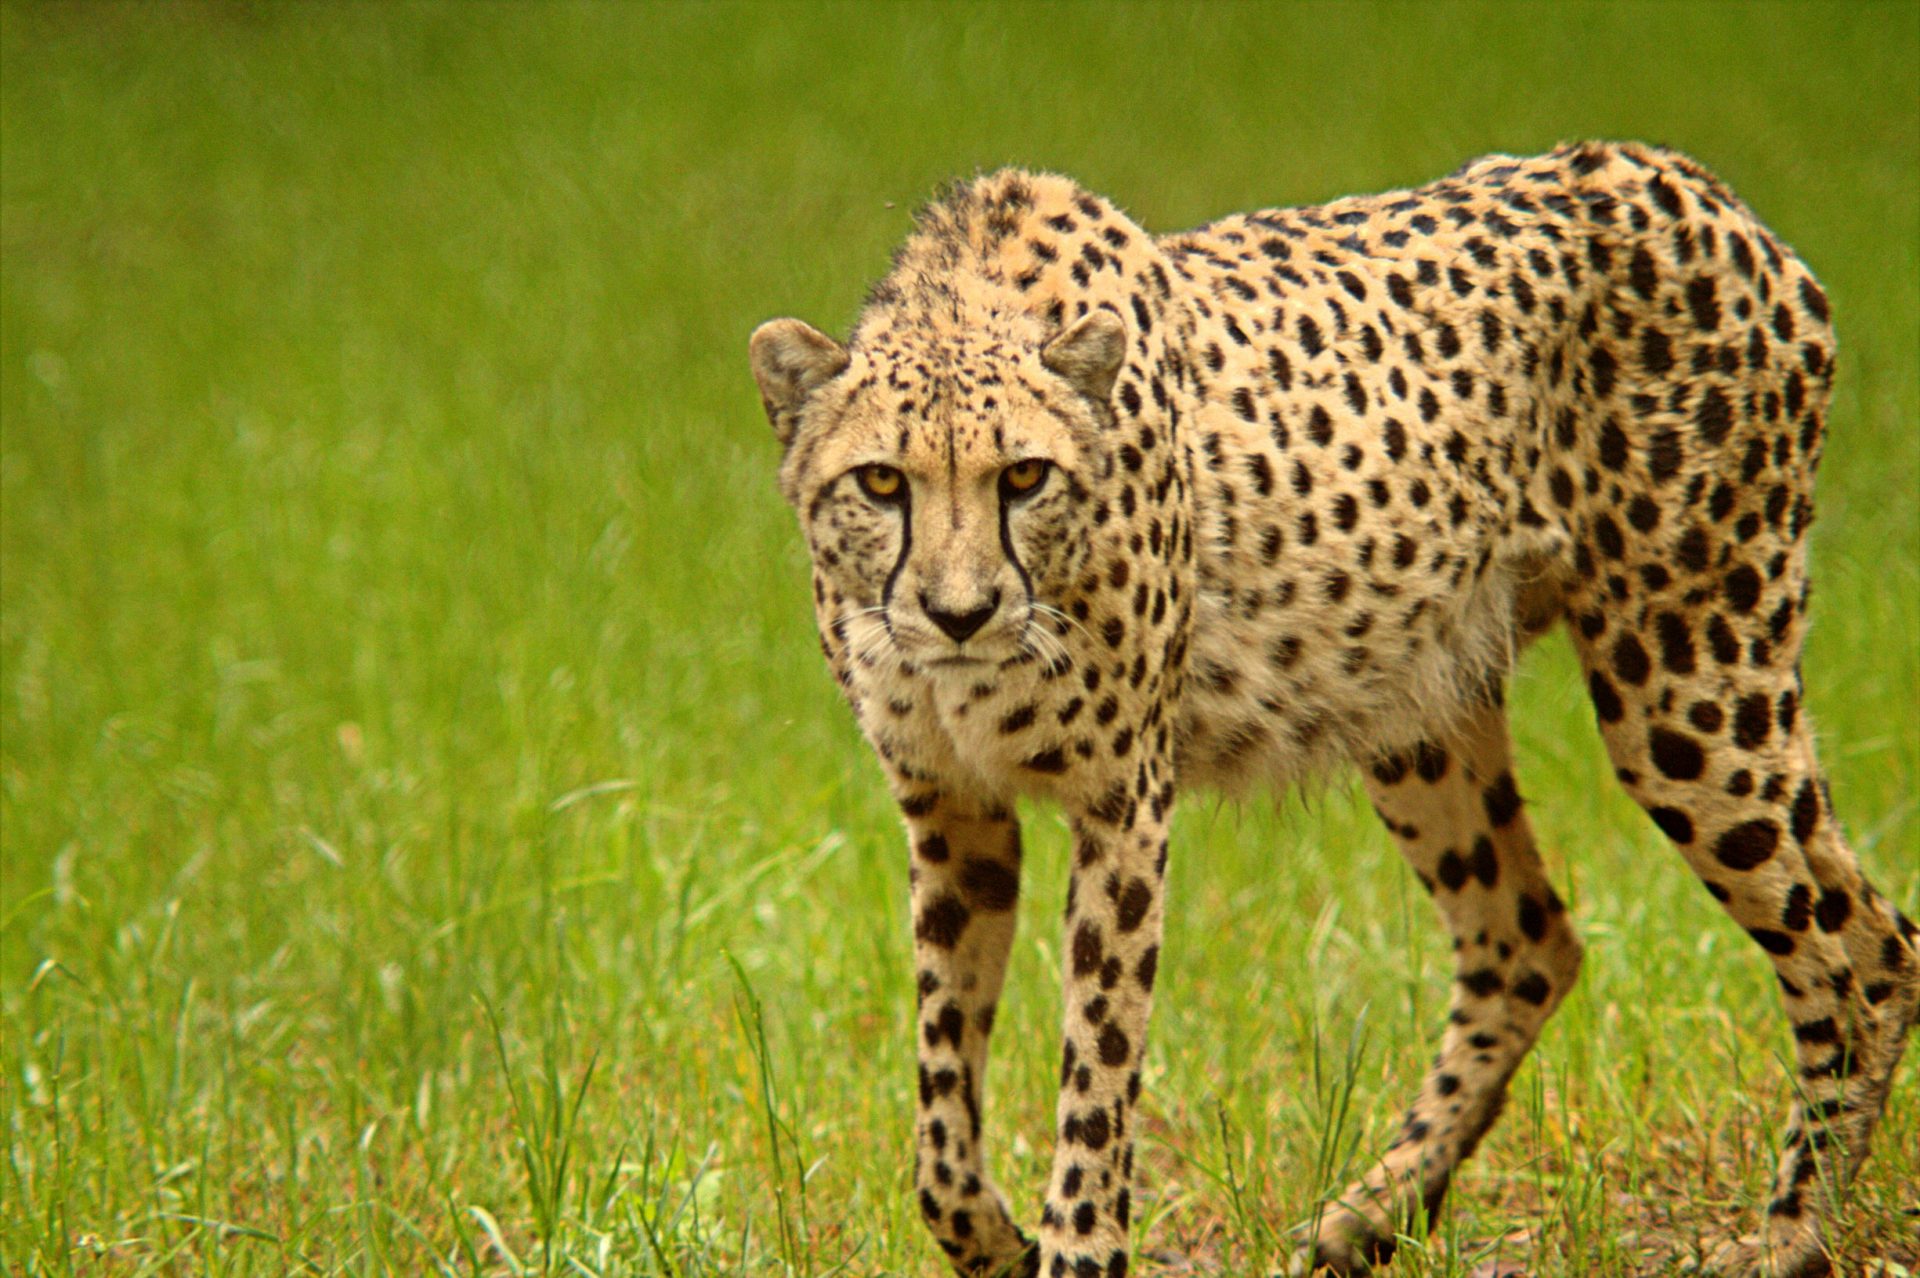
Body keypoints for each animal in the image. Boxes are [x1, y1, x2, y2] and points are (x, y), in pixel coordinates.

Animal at [748, 143, 1920, 1266]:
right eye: (883, 483)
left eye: (1025, 477)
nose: (960, 612)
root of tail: (1688, 182)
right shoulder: (953, 812)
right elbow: (941, 1117)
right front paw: (991, 1242)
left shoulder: (1124, 804)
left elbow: (1098, 1073)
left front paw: (1072, 1249)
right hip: (1415, 711)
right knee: (1528, 940)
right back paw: (1368, 1216)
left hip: (1689, 680)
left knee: (1864, 946)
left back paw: (1793, 1234)